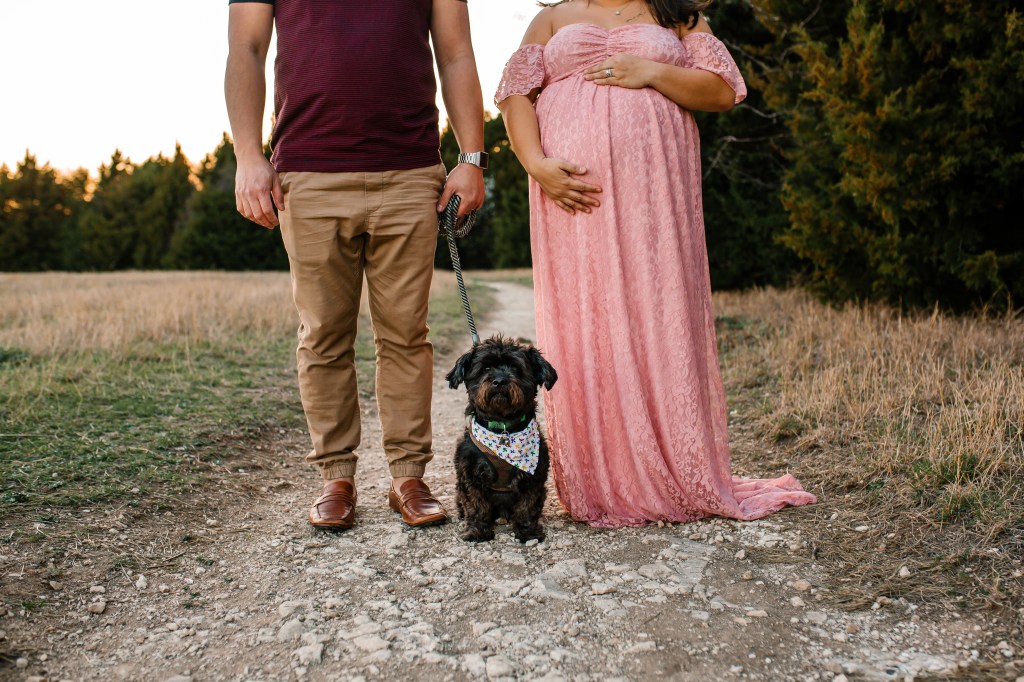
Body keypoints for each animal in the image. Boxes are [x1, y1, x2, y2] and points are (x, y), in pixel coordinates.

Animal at [446, 335, 557, 543]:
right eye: (486, 368)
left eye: (516, 368)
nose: (499, 381)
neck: (503, 429)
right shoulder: (470, 474)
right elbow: (476, 505)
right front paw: (477, 531)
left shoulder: (533, 477)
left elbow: (527, 506)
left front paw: (528, 532)